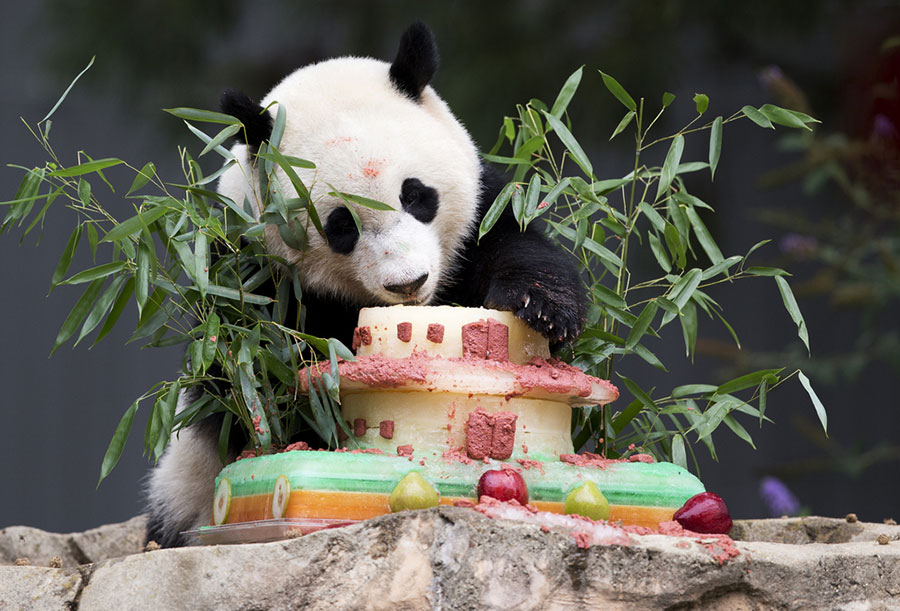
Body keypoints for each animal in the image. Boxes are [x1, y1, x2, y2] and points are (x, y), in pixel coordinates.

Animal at [145, 22, 586, 548]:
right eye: (341, 226)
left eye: (416, 196)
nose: (409, 283)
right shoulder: (250, 281)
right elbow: (254, 392)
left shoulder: (482, 212)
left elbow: (515, 244)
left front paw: (542, 306)